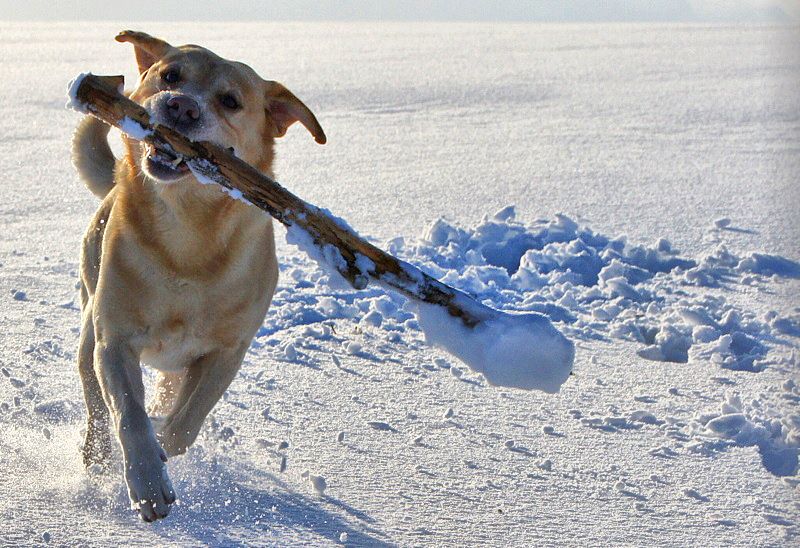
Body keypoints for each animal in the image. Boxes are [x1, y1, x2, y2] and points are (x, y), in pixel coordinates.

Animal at [71, 31, 324, 524]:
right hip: (91, 328)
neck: (188, 235)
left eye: (230, 101)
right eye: (170, 75)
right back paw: (97, 455)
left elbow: (186, 424)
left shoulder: (226, 353)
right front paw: (148, 482)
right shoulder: (115, 341)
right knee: (97, 405)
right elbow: (129, 413)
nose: (182, 107)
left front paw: (165, 444)